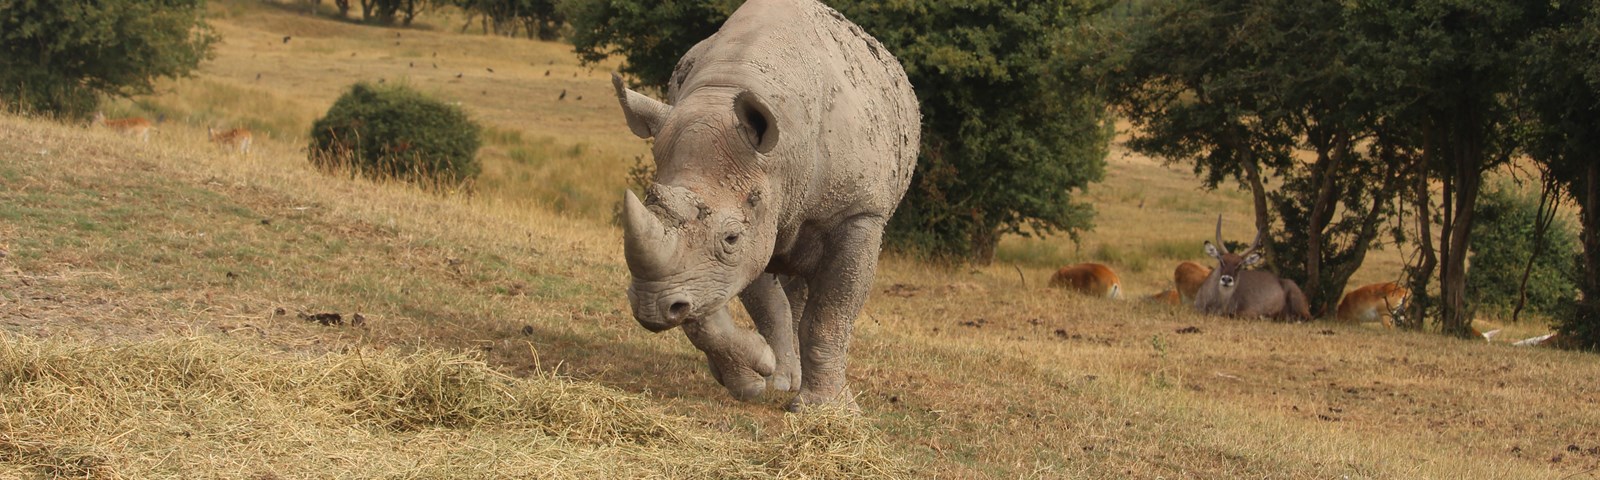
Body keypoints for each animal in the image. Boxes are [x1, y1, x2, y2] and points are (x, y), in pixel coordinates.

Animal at [611, 0, 920, 411]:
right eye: (650, 202)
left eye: (731, 238)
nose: (651, 307)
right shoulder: (748, 219)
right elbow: (756, 302)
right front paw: (761, 376)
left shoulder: (858, 212)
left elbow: (830, 314)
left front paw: (824, 408)